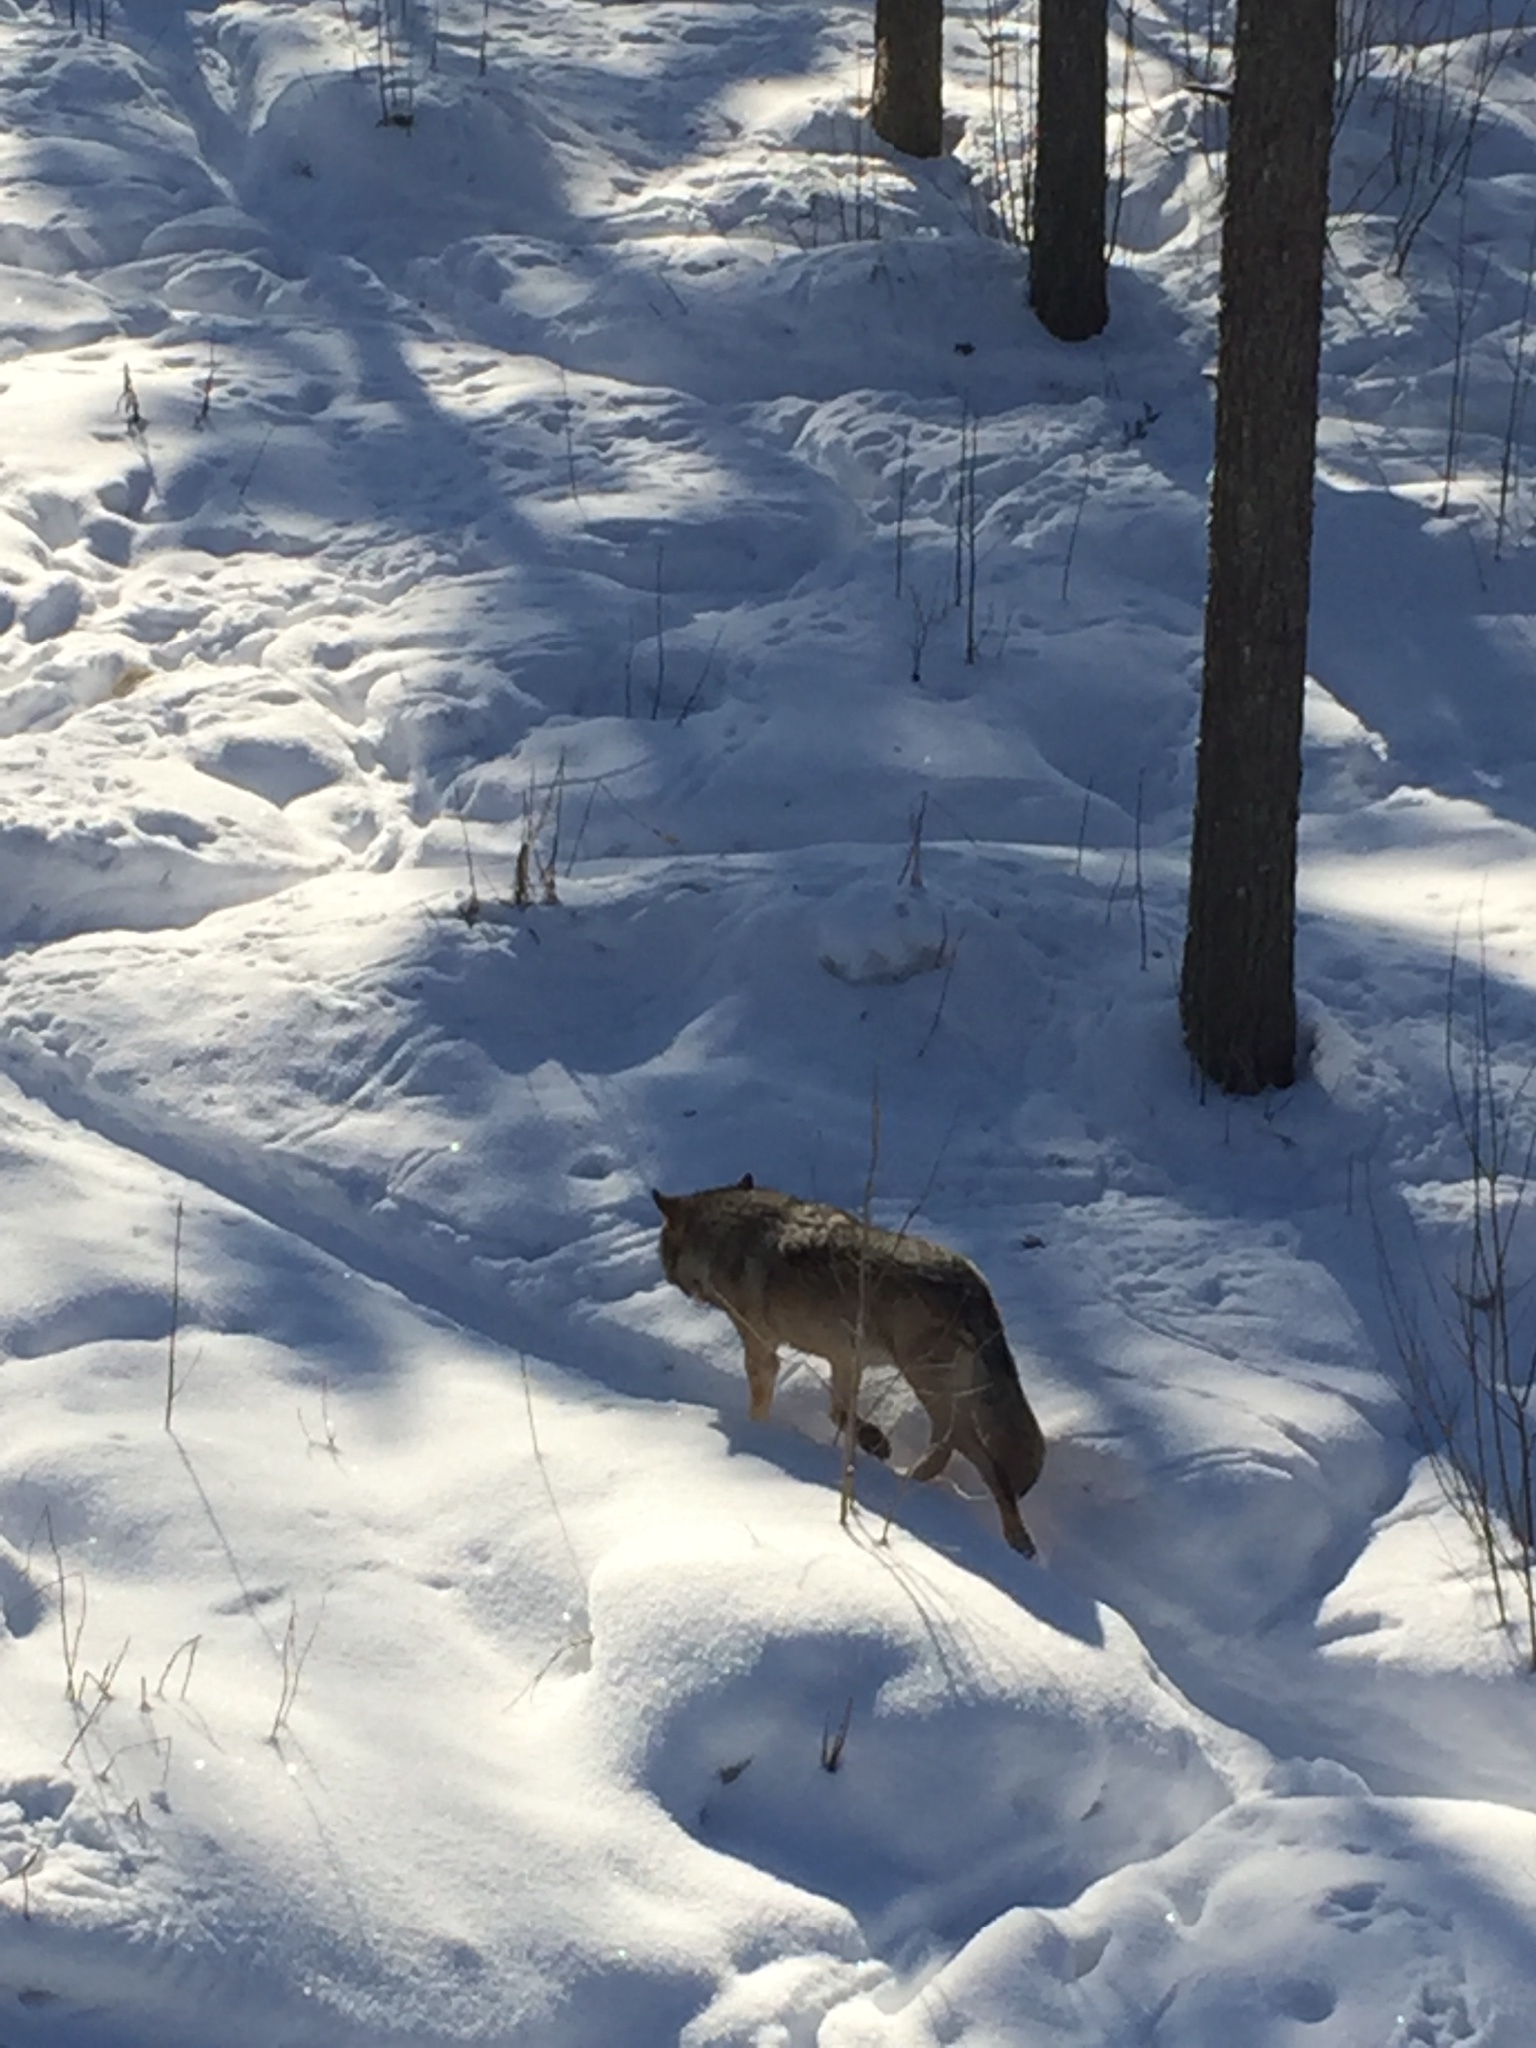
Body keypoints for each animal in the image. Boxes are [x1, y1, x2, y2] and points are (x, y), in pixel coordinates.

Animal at [651, 1171, 1048, 1548]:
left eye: (662, 1250)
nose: (666, 1277)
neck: (725, 1233)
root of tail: (972, 1282)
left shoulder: (762, 1351)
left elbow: (764, 1407)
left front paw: (760, 1436)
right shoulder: (844, 1358)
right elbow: (839, 1413)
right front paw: (874, 1441)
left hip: (926, 1384)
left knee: (986, 1464)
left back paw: (1016, 1541)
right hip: (940, 1393)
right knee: (948, 1445)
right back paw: (909, 1483)